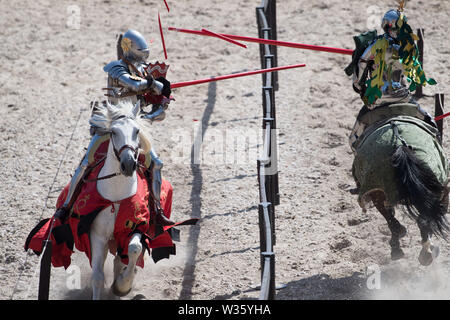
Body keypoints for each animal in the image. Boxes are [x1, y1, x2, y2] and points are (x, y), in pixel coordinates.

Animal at [87, 100, 152, 300]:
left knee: (119, 260)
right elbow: (97, 276)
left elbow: (134, 249)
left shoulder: (135, 227)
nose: (128, 163)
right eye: (113, 132)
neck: (116, 197)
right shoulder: (97, 235)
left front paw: (123, 285)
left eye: (137, 131)